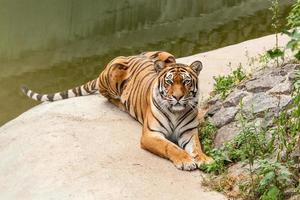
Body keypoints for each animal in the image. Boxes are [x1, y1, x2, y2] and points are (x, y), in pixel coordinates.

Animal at [21, 50, 213, 170]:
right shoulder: (151, 134)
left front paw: (205, 159)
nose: (178, 97)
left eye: (186, 82)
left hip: (167, 55)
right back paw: (120, 102)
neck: (175, 111)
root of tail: (132, 54)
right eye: (169, 82)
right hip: (112, 73)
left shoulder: (189, 132)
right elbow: (170, 147)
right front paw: (186, 161)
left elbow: (197, 147)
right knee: (106, 96)